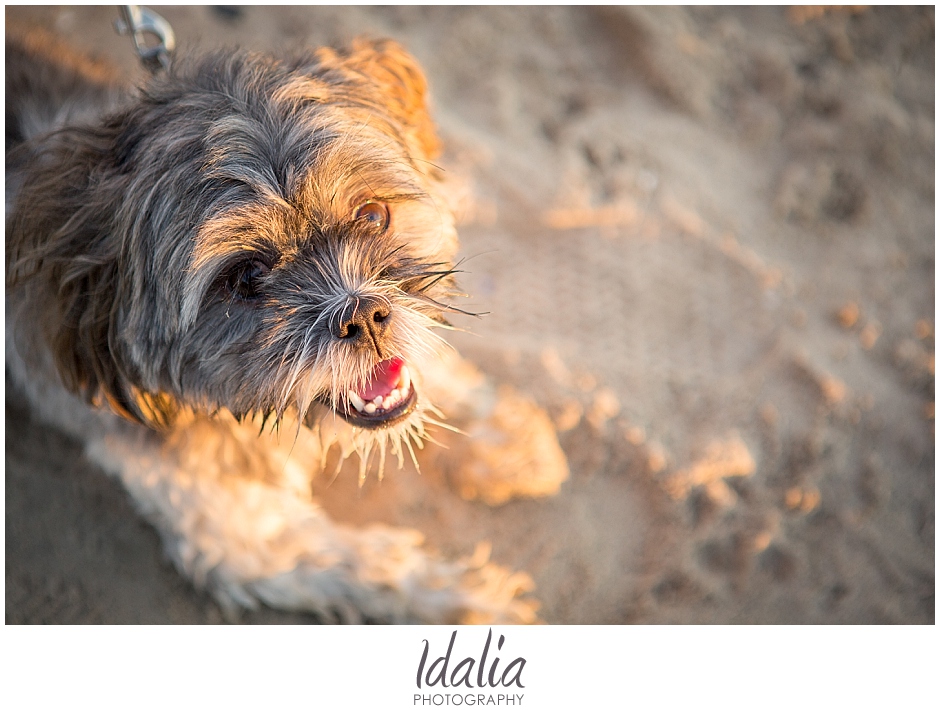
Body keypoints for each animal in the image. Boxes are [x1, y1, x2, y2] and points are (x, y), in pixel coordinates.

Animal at [5, 23, 564, 624]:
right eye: (245, 275)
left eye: (374, 215)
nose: (363, 316)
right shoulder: (245, 536)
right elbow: (371, 566)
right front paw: (468, 597)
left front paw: (502, 434)